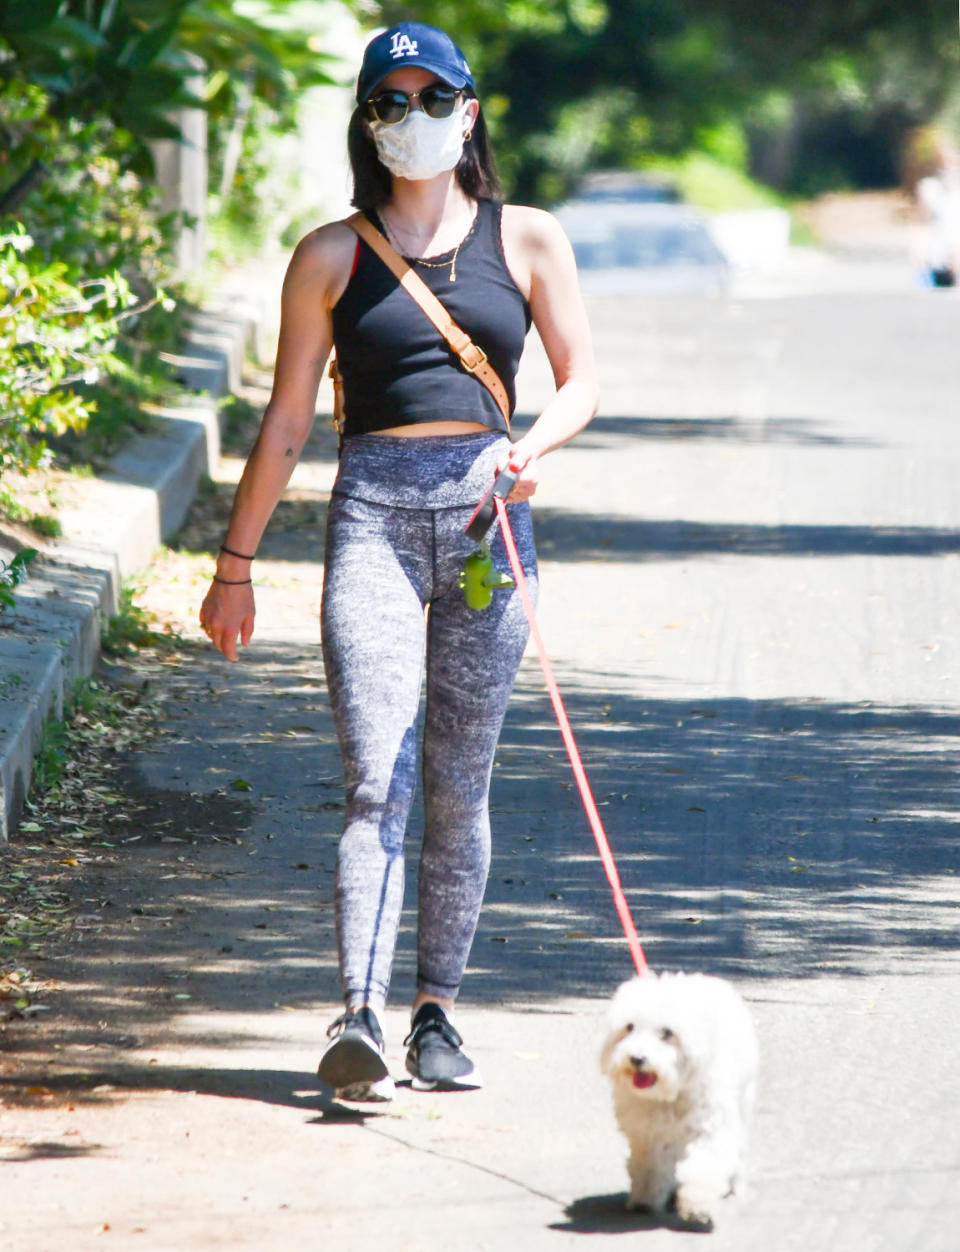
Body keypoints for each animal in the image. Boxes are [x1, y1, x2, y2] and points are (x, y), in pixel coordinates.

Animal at [600, 971, 760, 1226]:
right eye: (629, 1027)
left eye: (667, 1033)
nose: (636, 1058)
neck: (669, 1094)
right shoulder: (648, 1136)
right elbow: (650, 1167)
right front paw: (646, 1199)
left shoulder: (708, 1130)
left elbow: (704, 1166)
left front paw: (698, 1207)